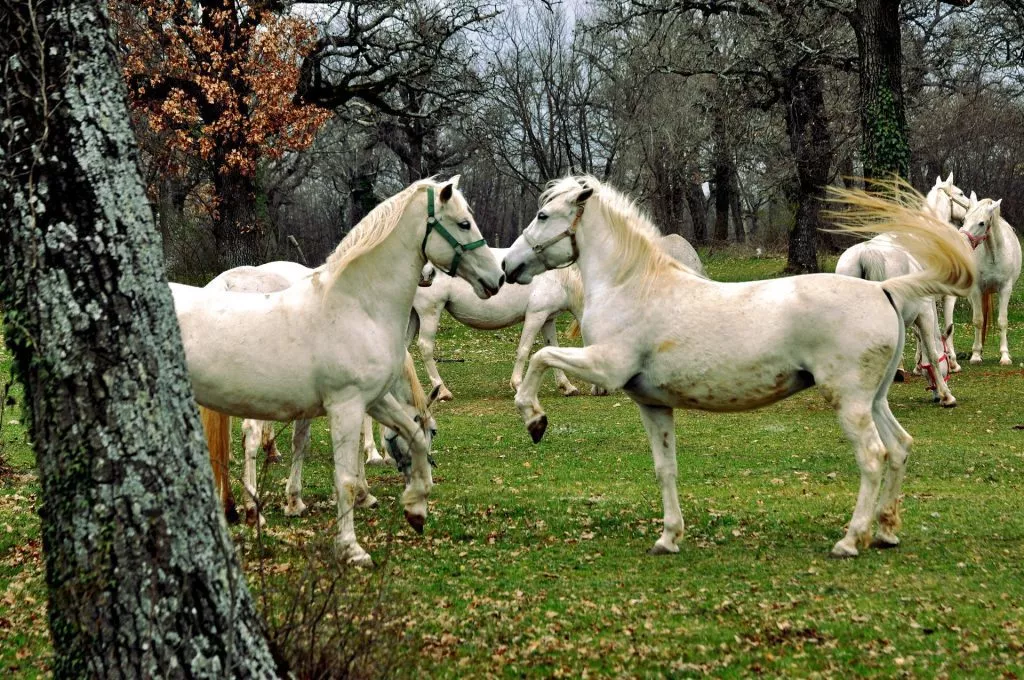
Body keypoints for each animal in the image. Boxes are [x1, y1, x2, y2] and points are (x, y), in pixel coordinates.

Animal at [172, 175, 503, 561]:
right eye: (464, 224)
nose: (498, 278)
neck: (357, 306)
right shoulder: (347, 406)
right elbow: (344, 477)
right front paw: (351, 546)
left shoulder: (376, 400)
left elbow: (413, 436)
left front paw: (416, 507)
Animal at [411, 235, 708, 401]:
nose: (603, 390)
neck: (561, 277)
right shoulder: (536, 315)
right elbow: (524, 350)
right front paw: (517, 384)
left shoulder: (548, 319)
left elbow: (550, 349)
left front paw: (566, 386)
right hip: (430, 311)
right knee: (425, 348)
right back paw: (443, 390)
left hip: (412, 316)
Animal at [835, 236, 954, 405]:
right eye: (948, 357)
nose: (936, 397)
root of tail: (868, 251)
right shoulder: (925, 315)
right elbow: (932, 356)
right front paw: (947, 396)